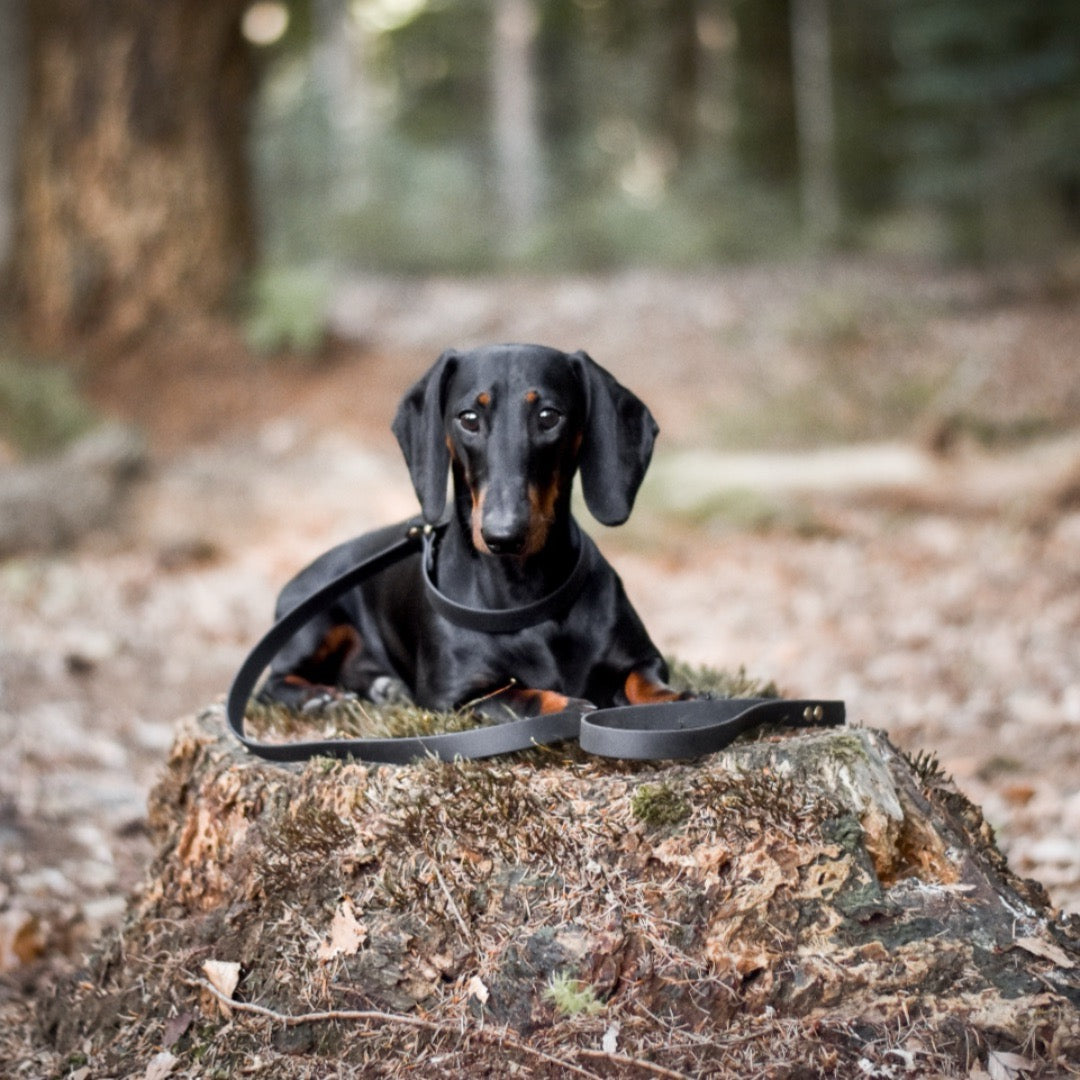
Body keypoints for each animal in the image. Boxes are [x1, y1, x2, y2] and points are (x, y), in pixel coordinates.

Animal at [260, 345, 682, 717]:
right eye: (468, 419)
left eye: (549, 416)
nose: (503, 535)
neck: (526, 597)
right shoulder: (454, 695)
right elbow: (514, 697)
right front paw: (561, 706)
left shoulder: (644, 658)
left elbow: (644, 680)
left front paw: (673, 700)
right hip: (314, 626)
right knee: (270, 684)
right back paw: (316, 697)